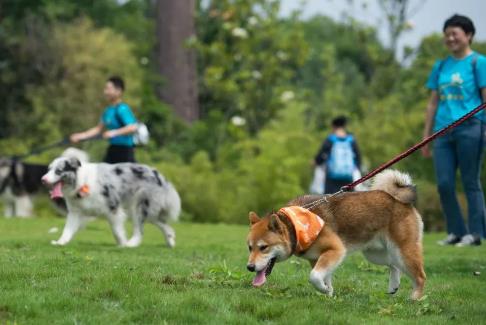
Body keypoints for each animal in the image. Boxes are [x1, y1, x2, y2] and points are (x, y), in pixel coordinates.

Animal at [247, 170, 426, 298]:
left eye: (263, 247)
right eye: (249, 248)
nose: (249, 267)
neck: (295, 227)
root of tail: (398, 200)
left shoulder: (336, 249)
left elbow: (314, 276)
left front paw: (324, 290)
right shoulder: (317, 258)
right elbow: (323, 277)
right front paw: (329, 293)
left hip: (403, 250)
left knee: (420, 276)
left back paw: (414, 299)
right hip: (376, 254)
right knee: (394, 265)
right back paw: (393, 286)